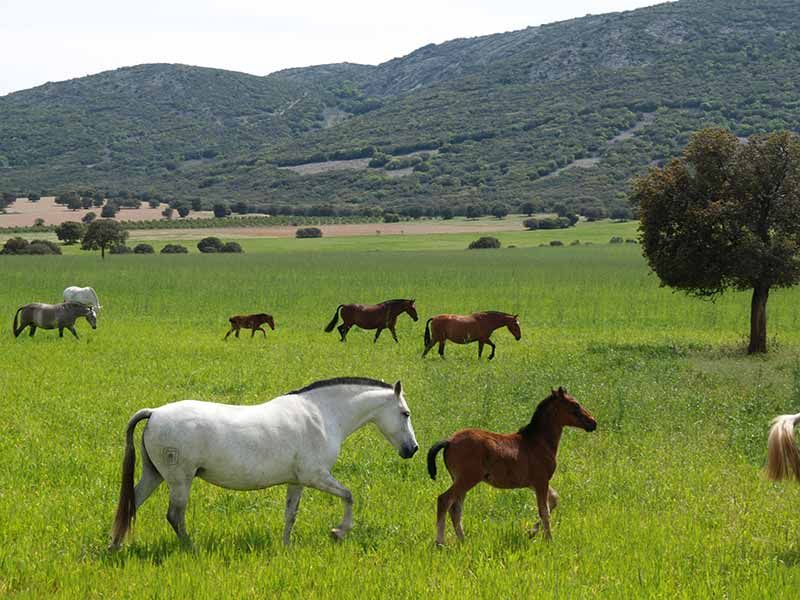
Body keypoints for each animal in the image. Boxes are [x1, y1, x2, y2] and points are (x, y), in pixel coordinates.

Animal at [110, 378, 422, 552]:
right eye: (405, 413)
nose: (413, 449)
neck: (322, 415)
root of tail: (154, 413)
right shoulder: (316, 477)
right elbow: (349, 496)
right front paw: (338, 532)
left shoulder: (297, 481)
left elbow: (290, 515)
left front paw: (286, 547)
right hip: (179, 480)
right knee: (174, 516)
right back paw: (191, 549)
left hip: (154, 475)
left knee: (132, 504)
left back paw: (114, 546)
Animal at [432, 386, 592, 548]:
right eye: (575, 405)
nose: (593, 423)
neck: (538, 441)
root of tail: (449, 441)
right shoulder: (541, 481)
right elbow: (544, 511)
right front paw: (549, 539)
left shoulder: (534, 483)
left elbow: (553, 499)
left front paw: (531, 532)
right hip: (467, 479)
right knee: (444, 500)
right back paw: (440, 543)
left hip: (460, 480)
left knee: (455, 509)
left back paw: (463, 540)